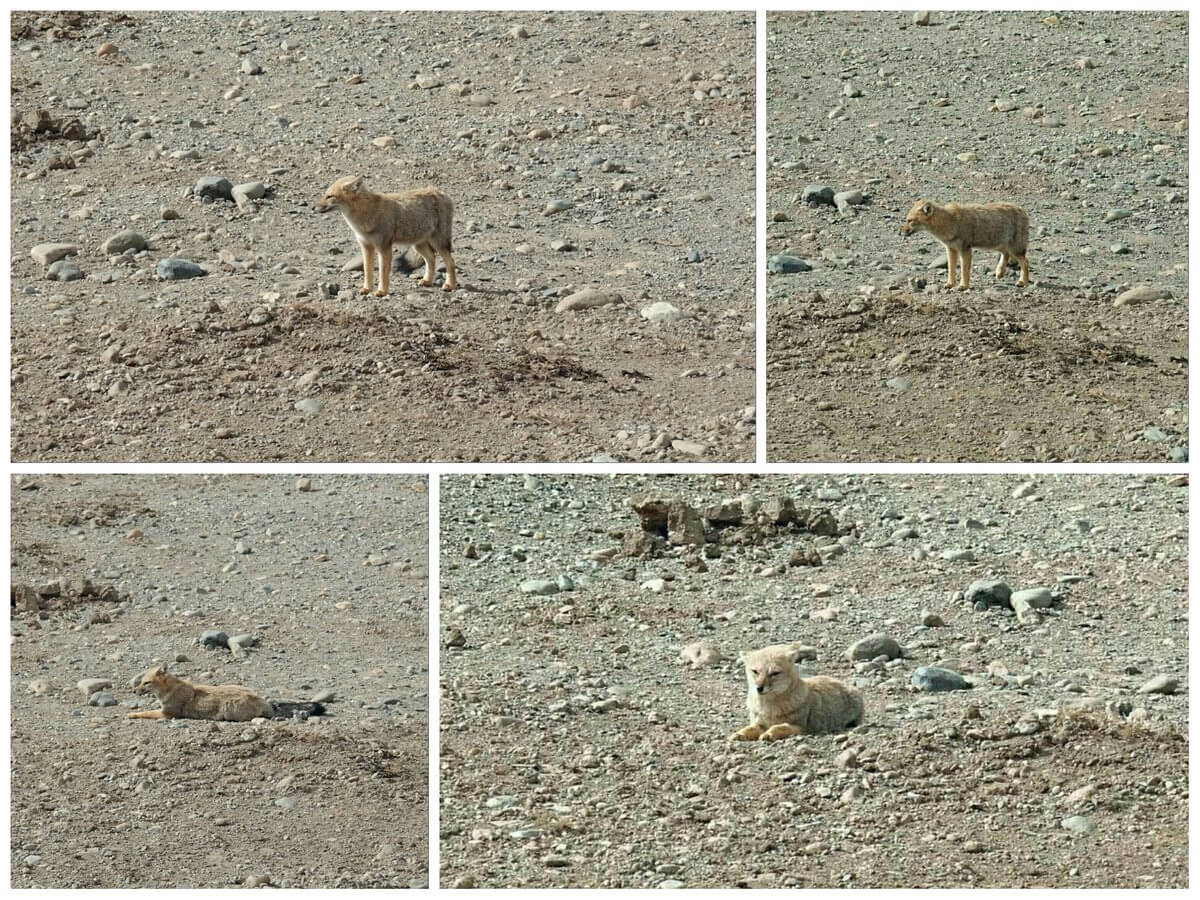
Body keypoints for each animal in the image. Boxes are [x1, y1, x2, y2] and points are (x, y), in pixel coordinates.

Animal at [126, 662, 326, 724]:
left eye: (146, 683)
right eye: (140, 682)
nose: (135, 690)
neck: (170, 689)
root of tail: (263, 700)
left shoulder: (168, 713)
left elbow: (145, 713)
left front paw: (131, 714)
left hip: (230, 709)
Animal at [312, 177, 456, 300]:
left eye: (329, 196)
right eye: (325, 195)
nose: (313, 208)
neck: (366, 216)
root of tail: (440, 192)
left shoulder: (384, 247)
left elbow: (382, 272)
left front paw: (381, 291)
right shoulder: (366, 246)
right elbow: (367, 270)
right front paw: (367, 289)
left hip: (438, 243)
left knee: (451, 262)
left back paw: (450, 285)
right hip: (418, 245)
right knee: (431, 259)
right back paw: (427, 281)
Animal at [729, 643, 864, 744]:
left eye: (774, 673)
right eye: (755, 671)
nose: (759, 688)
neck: (770, 709)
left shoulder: (800, 727)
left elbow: (779, 727)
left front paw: (769, 734)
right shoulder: (759, 723)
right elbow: (749, 728)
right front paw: (739, 734)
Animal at [902, 199, 1032, 290]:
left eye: (909, 220)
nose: (901, 232)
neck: (950, 222)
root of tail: (1022, 209)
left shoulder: (965, 249)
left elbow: (964, 270)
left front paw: (963, 286)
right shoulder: (951, 249)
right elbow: (951, 269)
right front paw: (950, 284)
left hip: (1014, 248)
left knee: (1025, 263)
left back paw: (1022, 282)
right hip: (1001, 245)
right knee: (1006, 254)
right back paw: (1000, 272)